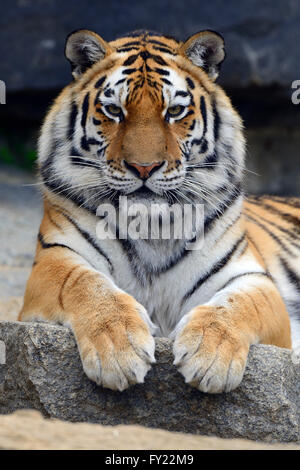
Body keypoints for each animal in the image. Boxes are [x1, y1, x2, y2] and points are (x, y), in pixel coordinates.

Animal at [18, 28, 300, 392]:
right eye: (114, 110)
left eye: (174, 111)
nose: (144, 167)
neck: (151, 226)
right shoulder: (54, 260)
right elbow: (87, 285)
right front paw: (119, 348)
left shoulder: (252, 278)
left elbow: (236, 305)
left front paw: (210, 357)